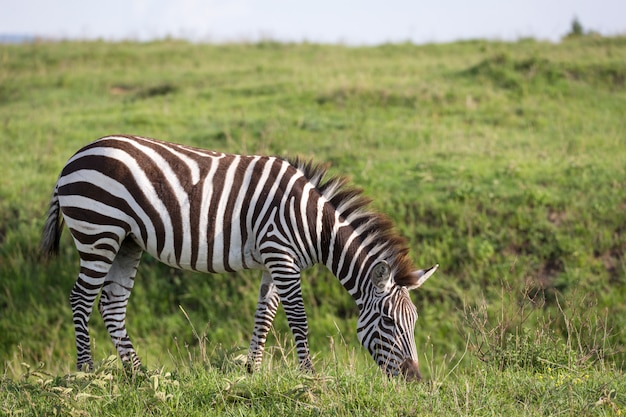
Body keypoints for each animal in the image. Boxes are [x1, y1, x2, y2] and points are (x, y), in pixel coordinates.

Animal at [41, 134, 436, 380]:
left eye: (414, 322)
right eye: (388, 322)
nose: (414, 379)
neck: (313, 223)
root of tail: (74, 157)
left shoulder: (274, 262)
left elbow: (265, 316)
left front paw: (252, 371)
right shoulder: (281, 255)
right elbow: (298, 318)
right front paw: (309, 375)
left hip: (127, 241)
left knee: (112, 303)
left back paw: (137, 373)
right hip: (99, 232)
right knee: (81, 298)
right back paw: (87, 371)